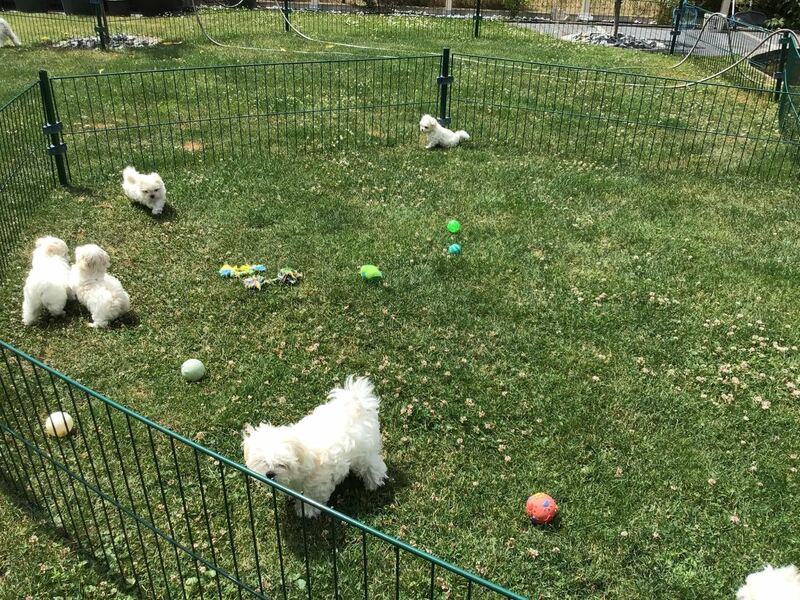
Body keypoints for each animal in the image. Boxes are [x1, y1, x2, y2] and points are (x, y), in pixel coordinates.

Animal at [242, 376, 388, 518]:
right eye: (263, 462)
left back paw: (374, 482)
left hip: (364, 452)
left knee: (372, 465)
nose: (270, 474)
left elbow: (311, 496)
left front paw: (307, 511)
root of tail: (357, 406)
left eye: (282, 465)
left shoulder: (317, 482)